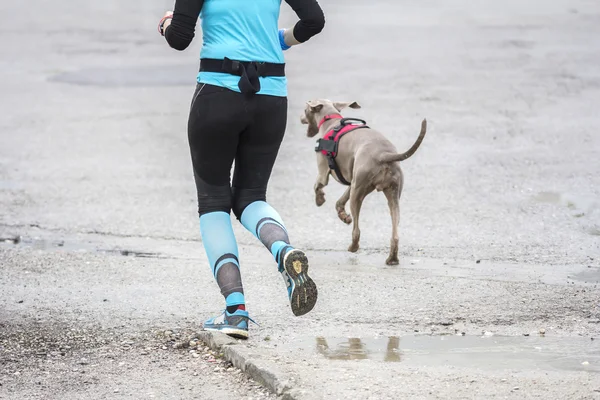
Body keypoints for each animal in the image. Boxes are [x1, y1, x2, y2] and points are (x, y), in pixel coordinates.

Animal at [300, 98, 426, 264]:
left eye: (305, 109)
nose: (300, 118)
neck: (331, 122)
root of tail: (384, 154)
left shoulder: (323, 172)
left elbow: (317, 185)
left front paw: (320, 200)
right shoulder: (353, 180)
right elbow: (339, 201)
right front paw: (344, 216)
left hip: (358, 194)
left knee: (357, 231)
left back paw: (353, 247)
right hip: (391, 193)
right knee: (395, 233)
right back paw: (392, 258)